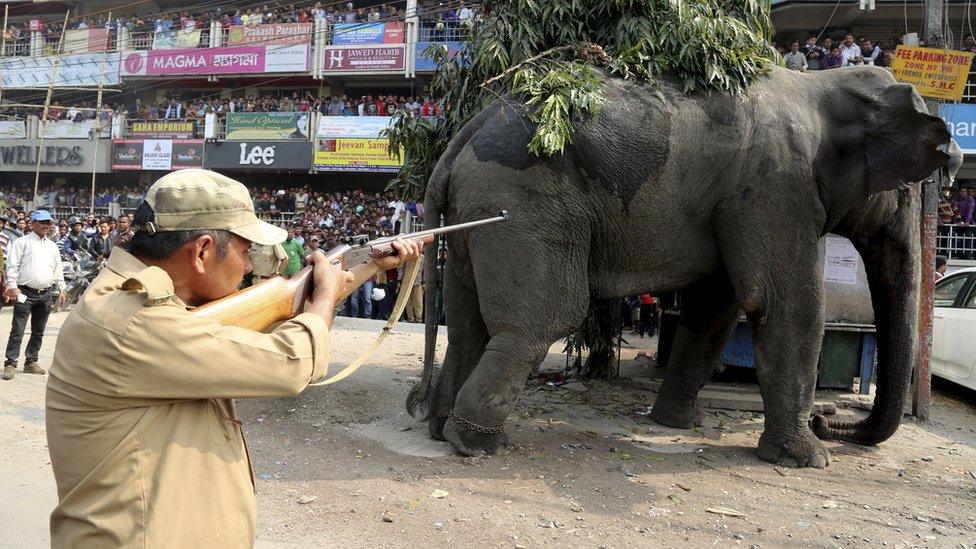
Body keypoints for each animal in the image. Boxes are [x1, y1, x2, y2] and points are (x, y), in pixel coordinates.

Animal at [404, 64, 952, 466]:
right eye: (909, 188)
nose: (826, 421)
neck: (824, 83)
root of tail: (462, 135)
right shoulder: (778, 184)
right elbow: (782, 303)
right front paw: (808, 459)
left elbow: (717, 306)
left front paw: (680, 425)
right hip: (520, 203)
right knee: (545, 320)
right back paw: (477, 445)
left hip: (473, 215)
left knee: (468, 319)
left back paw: (438, 429)